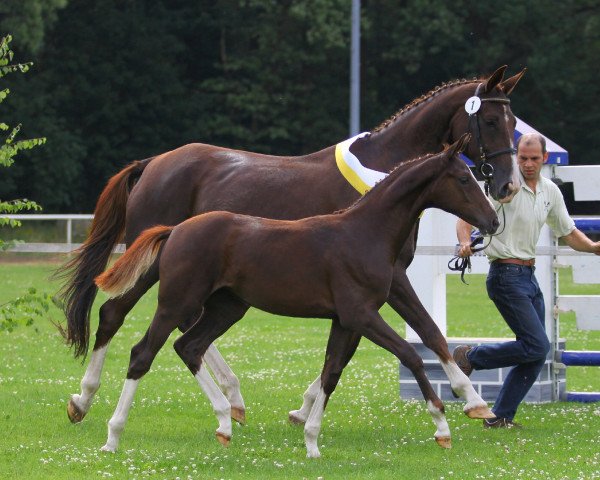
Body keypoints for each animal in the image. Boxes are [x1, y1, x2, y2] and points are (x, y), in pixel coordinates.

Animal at [95, 136, 496, 458]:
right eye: (463, 179)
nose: (492, 221)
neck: (364, 232)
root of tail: (176, 229)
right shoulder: (362, 314)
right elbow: (411, 355)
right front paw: (442, 427)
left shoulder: (344, 320)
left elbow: (332, 371)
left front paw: (312, 441)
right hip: (176, 303)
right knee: (142, 353)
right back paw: (111, 435)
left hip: (226, 307)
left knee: (188, 347)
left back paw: (225, 422)